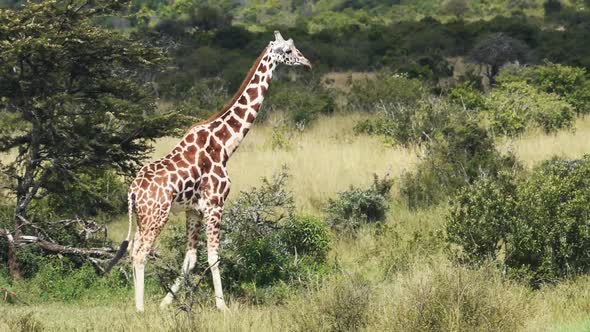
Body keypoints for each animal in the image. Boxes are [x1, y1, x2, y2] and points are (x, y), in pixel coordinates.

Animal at [104, 30, 312, 312]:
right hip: (157, 215)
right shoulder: (215, 204)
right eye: (288, 51)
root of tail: (132, 191)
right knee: (140, 252)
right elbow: (214, 255)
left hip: (142, 217)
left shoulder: (194, 209)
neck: (224, 144)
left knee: (133, 247)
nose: (307, 63)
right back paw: (139, 308)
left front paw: (166, 302)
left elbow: (190, 258)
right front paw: (222, 306)